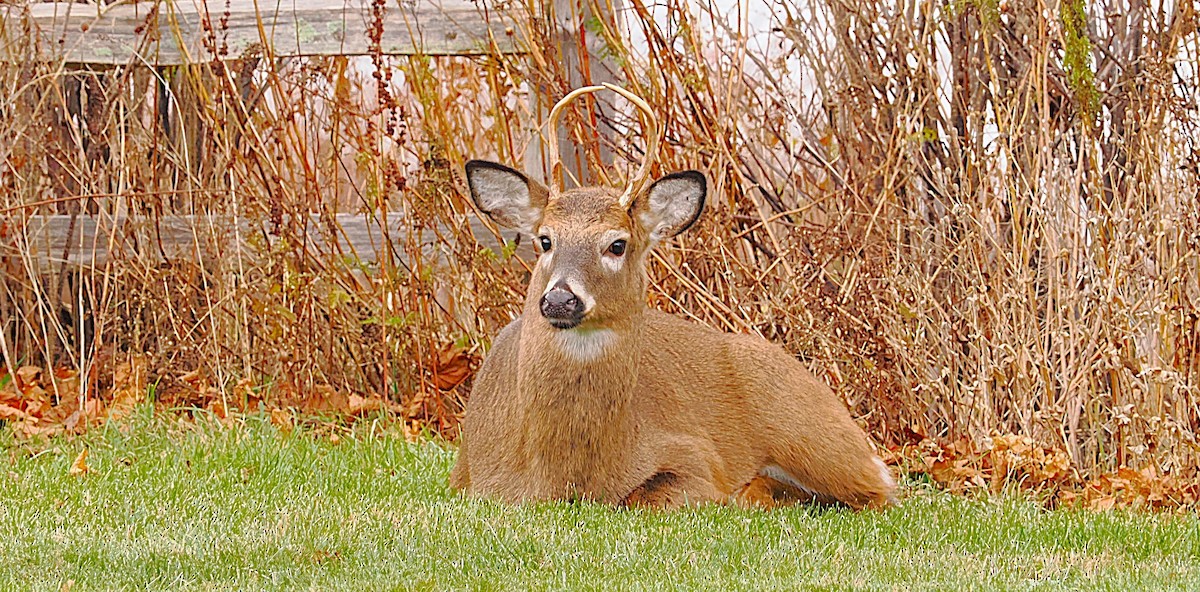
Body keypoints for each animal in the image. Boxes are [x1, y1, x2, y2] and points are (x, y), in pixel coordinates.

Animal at [450, 84, 896, 510]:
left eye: (617, 244)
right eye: (545, 240)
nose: (560, 299)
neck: (562, 474)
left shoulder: (695, 455)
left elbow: (644, 495)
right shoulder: (467, 480)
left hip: (812, 434)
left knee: (880, 491)